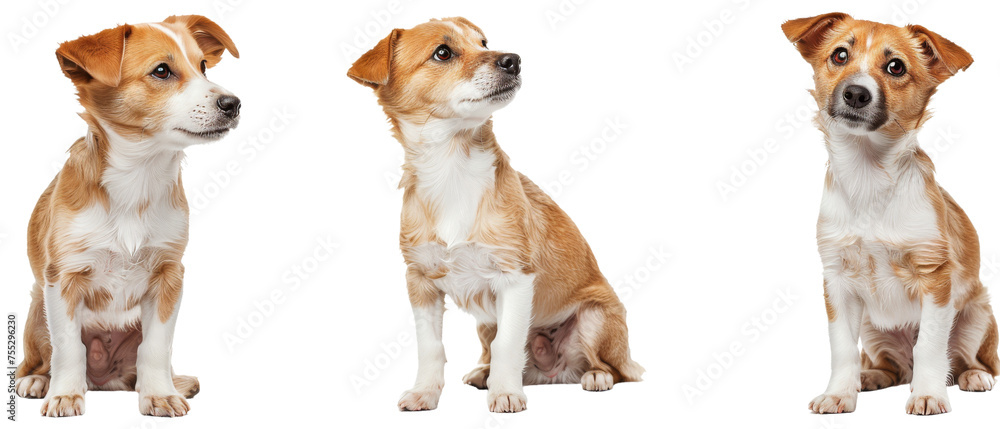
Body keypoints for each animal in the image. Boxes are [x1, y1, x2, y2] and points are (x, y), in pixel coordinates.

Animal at [14, 15, 240, 414]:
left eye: (203, 67)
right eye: (162, 71)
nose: (234, 103)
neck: (137, 180)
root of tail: (102, 380)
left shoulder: (169, 276)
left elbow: (156, 347)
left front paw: (160, 394)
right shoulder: (62, 278)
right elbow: (68, 347)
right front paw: (64, 395)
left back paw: (174, 383)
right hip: (38, 308)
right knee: (37, 360)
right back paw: (39, 381)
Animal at [348, 18, 644, 412]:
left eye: (484, 42)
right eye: (443, 53)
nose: (513, 60)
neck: (452, 167)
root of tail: (556, 373)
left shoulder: (515, 277)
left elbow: (508, 344)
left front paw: (505, 393)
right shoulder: (420, 281)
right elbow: (431, 346)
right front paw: (425, 392)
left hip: (595, 318)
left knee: (615, 368)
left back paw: (595, 376)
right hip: (485, 324)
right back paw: (484, 373)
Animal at [784, 14, 996, 414]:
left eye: (895, 66)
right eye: (839, 55)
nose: (856, 93)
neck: (868, 175)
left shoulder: (935, 277)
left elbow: (929, 345)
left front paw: (929, 394)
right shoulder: (837, 281)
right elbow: (842, 348)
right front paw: (839, 393)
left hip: (977, 314)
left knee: (965, 359)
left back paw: (973, 376)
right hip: (873, 328)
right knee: (892, 367)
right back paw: (870, 377)